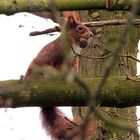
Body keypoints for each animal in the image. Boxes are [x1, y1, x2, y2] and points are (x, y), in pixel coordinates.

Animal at [24, 11, 93, 139]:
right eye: (80, 28)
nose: (91, 35)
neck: (72, 44)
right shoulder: (56, 57)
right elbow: (57, 67)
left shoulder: (73, 60)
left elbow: (73, 68)